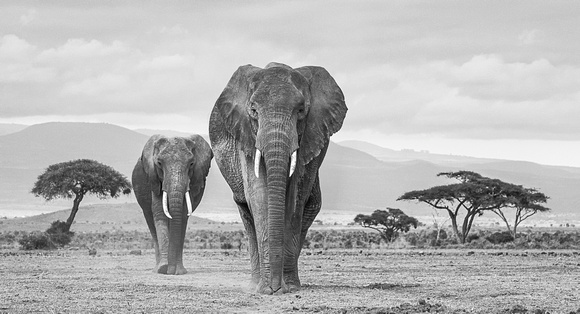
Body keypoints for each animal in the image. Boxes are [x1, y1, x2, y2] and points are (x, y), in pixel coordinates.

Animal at [131, 135, 213, 274]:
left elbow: (182, 216)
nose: (170, 269)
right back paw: (157, 269)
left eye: (191, 164)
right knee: (151, 221)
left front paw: (178, 271)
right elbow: (160, 213)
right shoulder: (155, 179)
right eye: (159, 163)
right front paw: (163, 268)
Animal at [211, 62, 348, 294]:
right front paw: (266, 289)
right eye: (253, 111)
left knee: (310, 208)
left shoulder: (311, 135)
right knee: (247, 213)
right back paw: (255, 284)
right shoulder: (246, 136)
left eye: (301, 111)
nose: (275, 288)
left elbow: (296, 198)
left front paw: (287, 287)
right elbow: (258, 196)